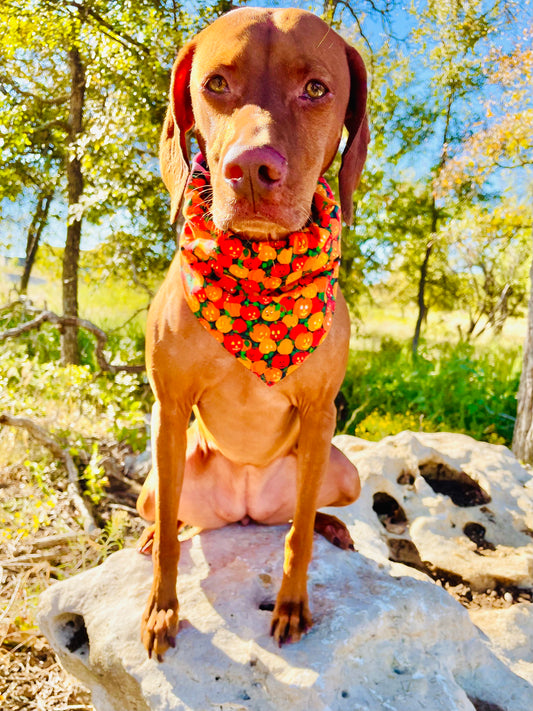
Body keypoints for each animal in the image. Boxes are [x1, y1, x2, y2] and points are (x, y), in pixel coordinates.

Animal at [135, 5, 368, 660]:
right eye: (216, 83)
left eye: (316, 88)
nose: (252, 169)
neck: (260, 276)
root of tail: (243, 509)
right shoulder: (169, 408)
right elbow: (170, 544)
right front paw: (162, 609)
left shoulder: (319, 412)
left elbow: (299, 537)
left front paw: (291, 604)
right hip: (157, 479)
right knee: (167, 516)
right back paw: (156, 534)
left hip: (341, 468)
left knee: (301, 516)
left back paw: (334, 524)